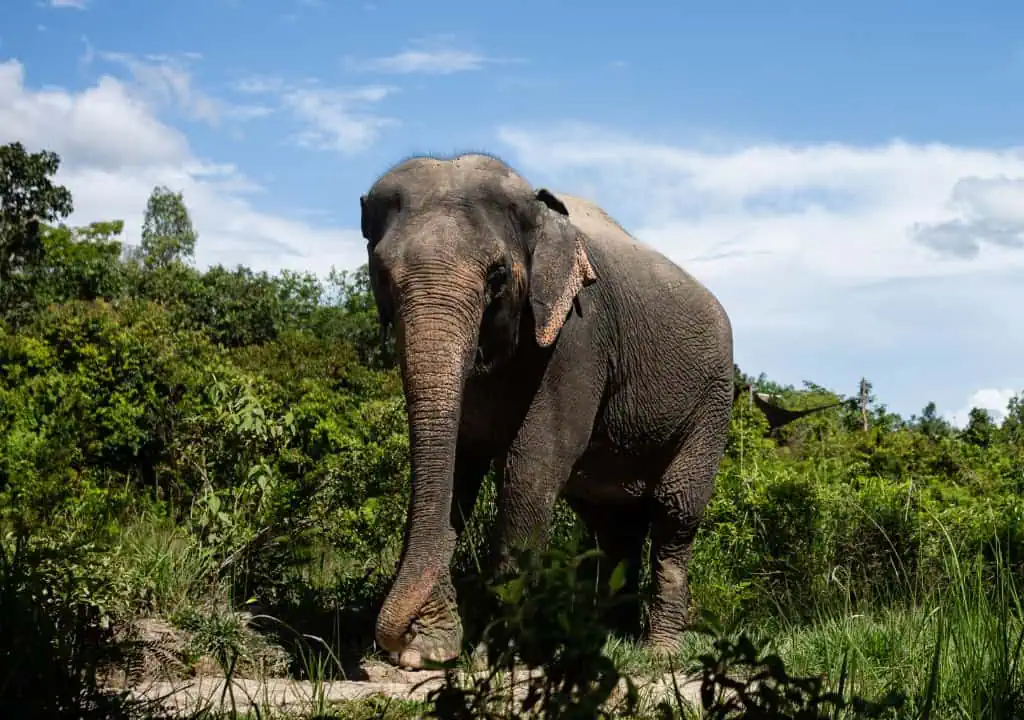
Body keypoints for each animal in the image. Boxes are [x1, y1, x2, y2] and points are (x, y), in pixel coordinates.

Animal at [359, 152, 736, 670]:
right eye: (381, 276)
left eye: (497, 277)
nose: (397, 646)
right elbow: (458, 467)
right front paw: (433, 649)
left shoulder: (578, 337)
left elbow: (531, 467)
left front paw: (496, 657)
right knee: (613, 524)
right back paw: (607, 639)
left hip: (712, 403)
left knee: (674, 511)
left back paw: (658, 654)